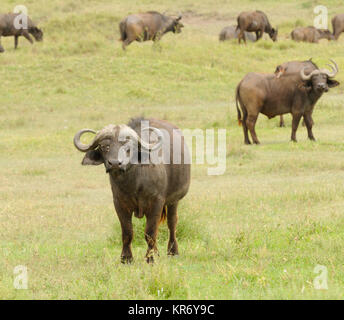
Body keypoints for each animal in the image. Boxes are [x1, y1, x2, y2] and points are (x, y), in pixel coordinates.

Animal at [73, 117, 191, 262]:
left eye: (129, 148)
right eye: (104, 147)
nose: (115, 163)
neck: (134, 183)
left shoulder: (157, 202)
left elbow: (150, 233)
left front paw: (150, 258)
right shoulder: (119, 203)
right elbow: (127, 232)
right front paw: (126, 258)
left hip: (174, 200)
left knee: (172, 223)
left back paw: (173, 252)